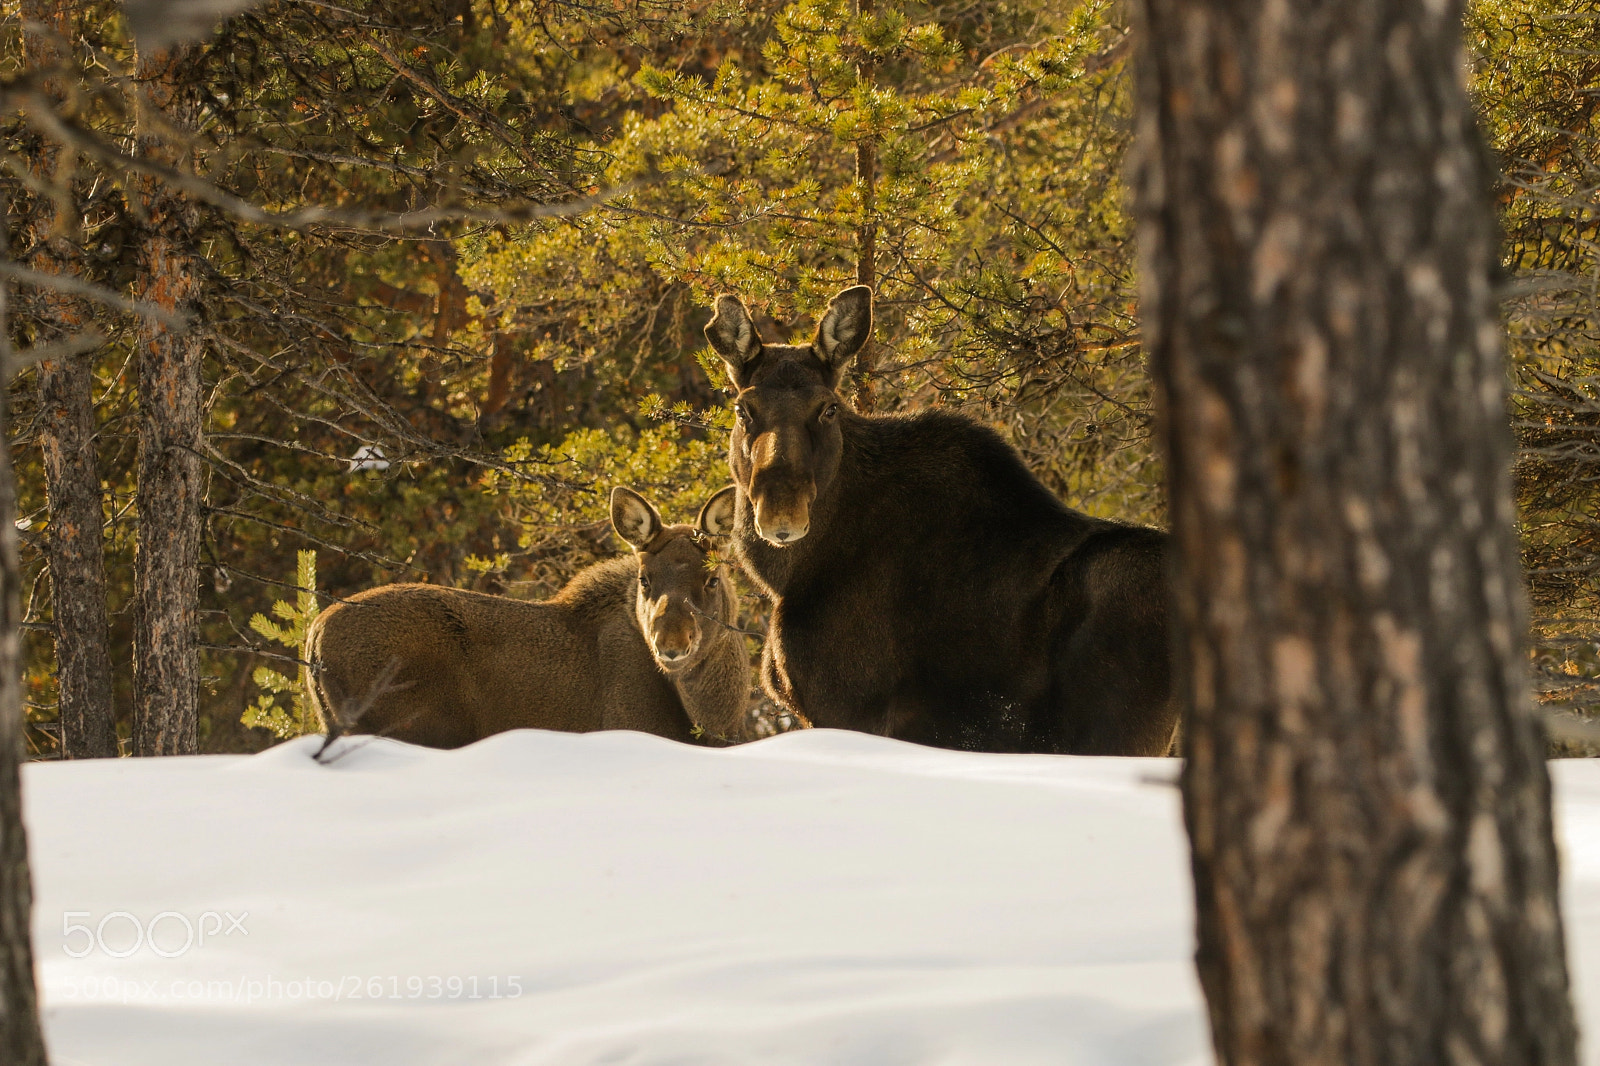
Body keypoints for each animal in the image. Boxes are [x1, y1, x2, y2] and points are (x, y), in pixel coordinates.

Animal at [703, 285, 1178, 755]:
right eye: (743, 409)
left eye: (828, 408)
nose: (781, 513)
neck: (785, 578)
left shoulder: (847, 707)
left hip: (1112, 730)